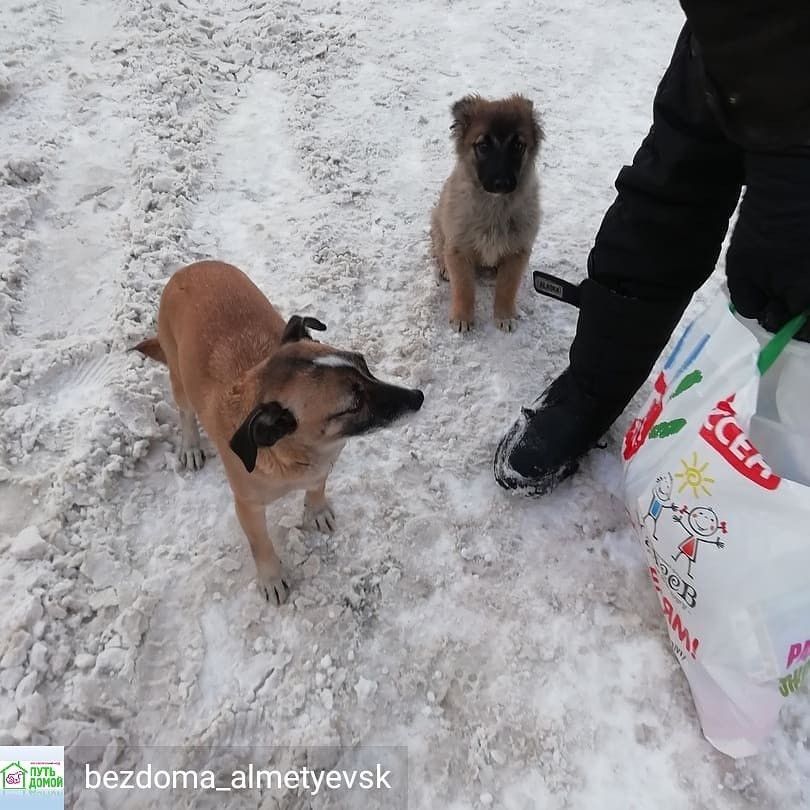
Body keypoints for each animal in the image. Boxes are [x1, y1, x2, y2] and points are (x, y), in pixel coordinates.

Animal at [134, 258, 422, 600]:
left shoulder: (322, 466)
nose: (418, 397)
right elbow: (261, 544)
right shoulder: (247, 507)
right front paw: (271, 578)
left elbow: (317, 487)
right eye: (353, 404)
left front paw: (316, 510)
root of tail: (191, 267)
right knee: (186, 411)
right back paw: (190, 446)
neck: (295, 451)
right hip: (179, 378)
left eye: (363, 364)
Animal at [430, 94, 544, 332]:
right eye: (483, 146)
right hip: (437, 223)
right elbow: (464, 287)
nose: (502, 183)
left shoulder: (517, 251)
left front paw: (505, 316)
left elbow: (507, 288)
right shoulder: (459, 248)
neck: (495, 206)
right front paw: (462, 318)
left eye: (518, 145)